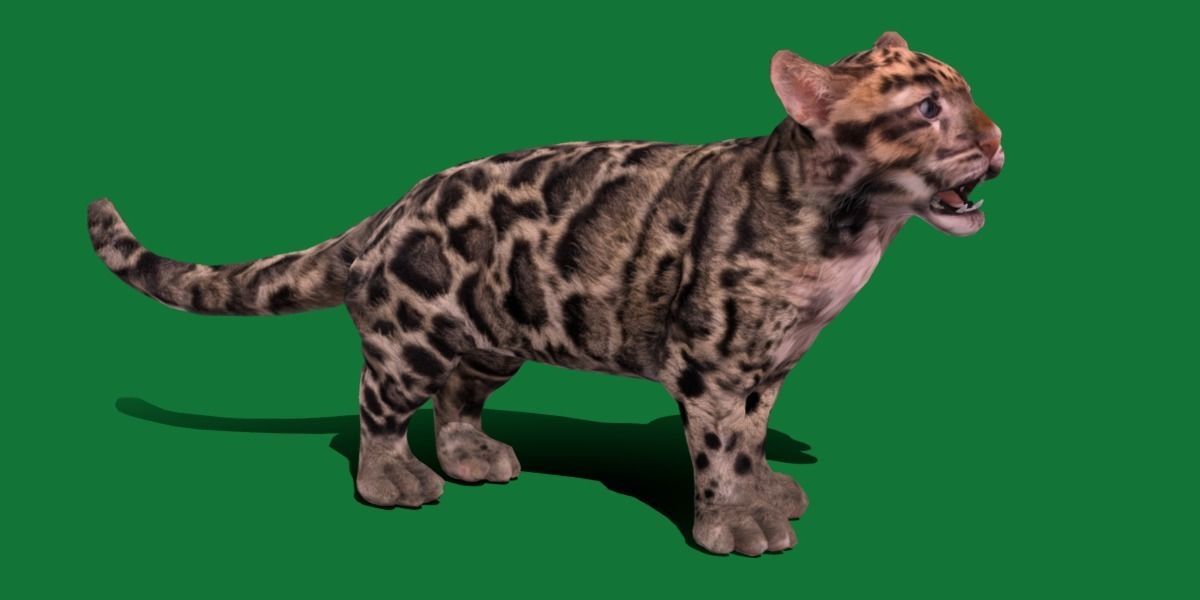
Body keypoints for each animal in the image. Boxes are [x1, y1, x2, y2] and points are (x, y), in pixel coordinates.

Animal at [88, 32, 1004, 556]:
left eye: (967, 93)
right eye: (928, 108)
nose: (998, 139)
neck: (852, 237)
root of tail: (395, 205)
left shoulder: (768, 365)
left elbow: (752, 436)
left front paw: (766, 488)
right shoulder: (709, 363)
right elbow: (720, 447)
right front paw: (733, 522)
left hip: (493, 339)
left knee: (457, 398)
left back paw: (470, 457)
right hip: (410, 336)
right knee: (378, 407)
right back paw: (394, 481)